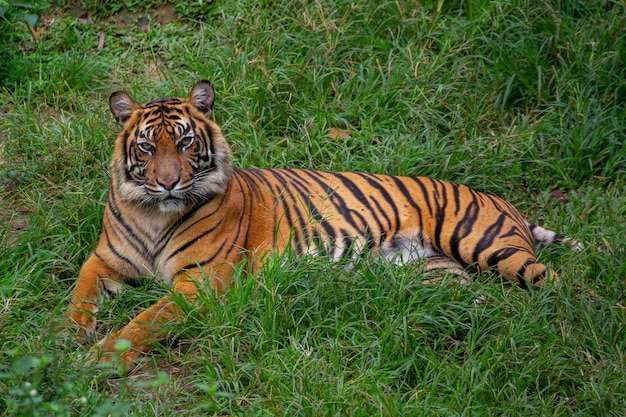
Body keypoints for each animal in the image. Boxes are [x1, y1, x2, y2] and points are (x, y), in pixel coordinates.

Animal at [64, 79, 580, 368]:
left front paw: (97, 358)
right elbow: (78, 295)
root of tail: (506, 203)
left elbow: (142, 321)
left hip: (485, 242)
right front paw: (61, 338)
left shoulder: (200, 283)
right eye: (147, 147)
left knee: (557, 285)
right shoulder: (105, 260)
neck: (153, 213)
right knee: (488, 307)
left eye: (187, 143)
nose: (169, 182)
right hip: (440, 277)